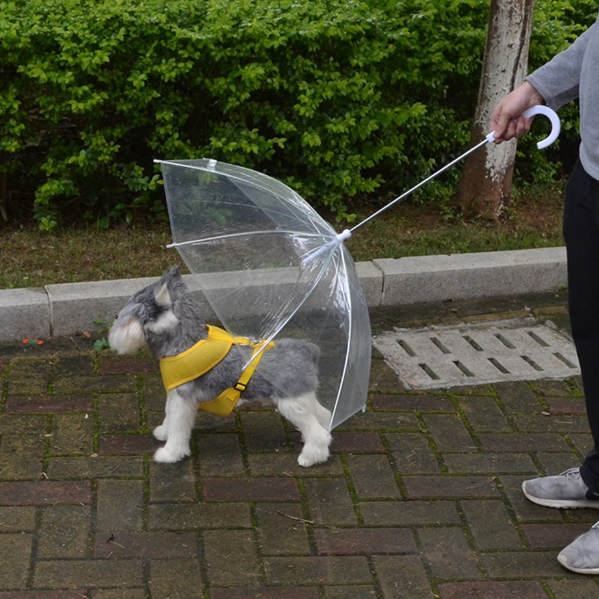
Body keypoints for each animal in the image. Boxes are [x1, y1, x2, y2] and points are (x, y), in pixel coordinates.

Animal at [108, 268, 332, 468]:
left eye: (137, 310)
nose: (116, 317)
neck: (185, 344)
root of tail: (306, 350)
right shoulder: (175, 393)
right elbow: (169, 415)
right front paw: (164, 432)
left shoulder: (183, 398)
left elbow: (178, 426)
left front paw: (170, 454)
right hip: (304, 399)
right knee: (325, 416)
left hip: (291, 404)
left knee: (318, 433)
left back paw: (310, 458)